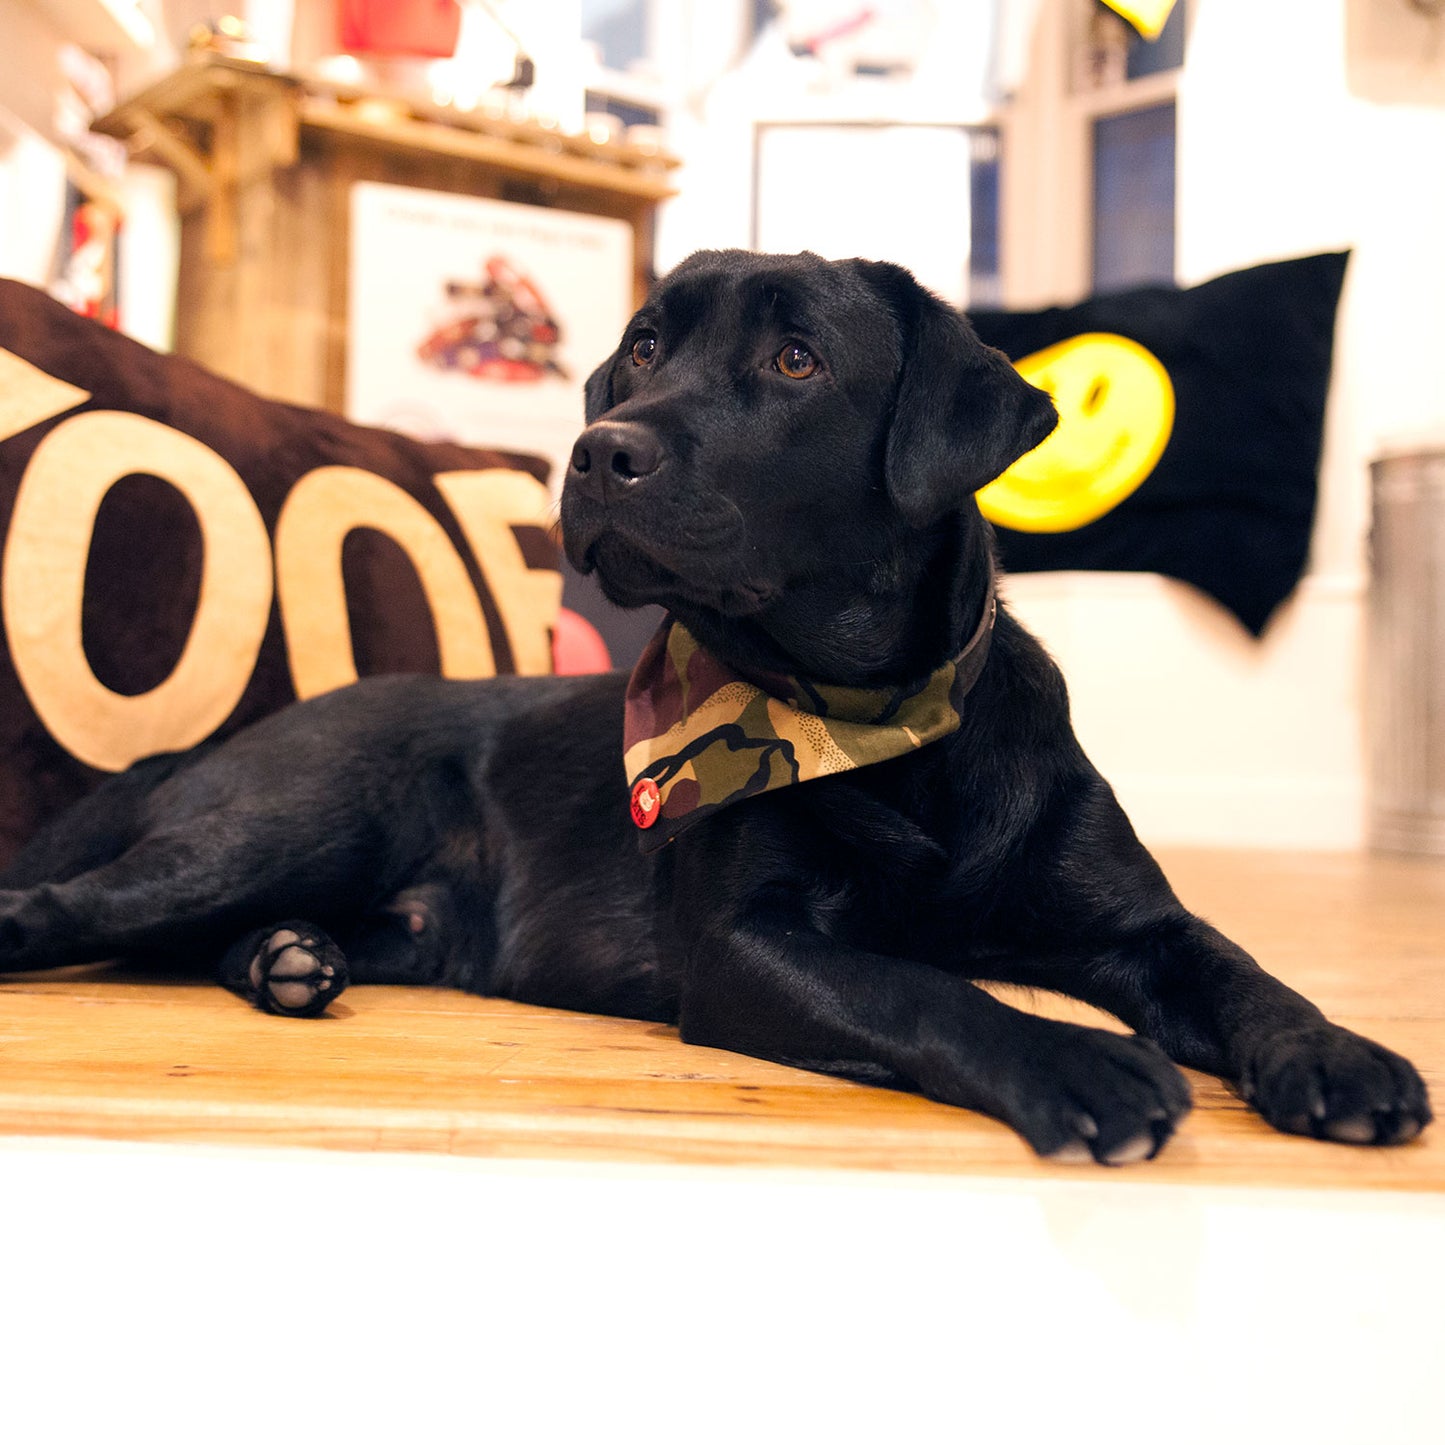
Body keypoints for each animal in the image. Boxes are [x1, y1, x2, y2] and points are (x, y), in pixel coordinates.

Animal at [0, 251, 1427, 1161]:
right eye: (642, 347)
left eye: (796, 359)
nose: (597, 448)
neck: (875, 724)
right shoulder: (742, 945)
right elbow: (923, 987)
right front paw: (1074, 1061)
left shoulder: (1137, 926)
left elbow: (1244, 972)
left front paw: (1336, 1055)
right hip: (282, 825)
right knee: (76, 905)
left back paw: (289, 960)